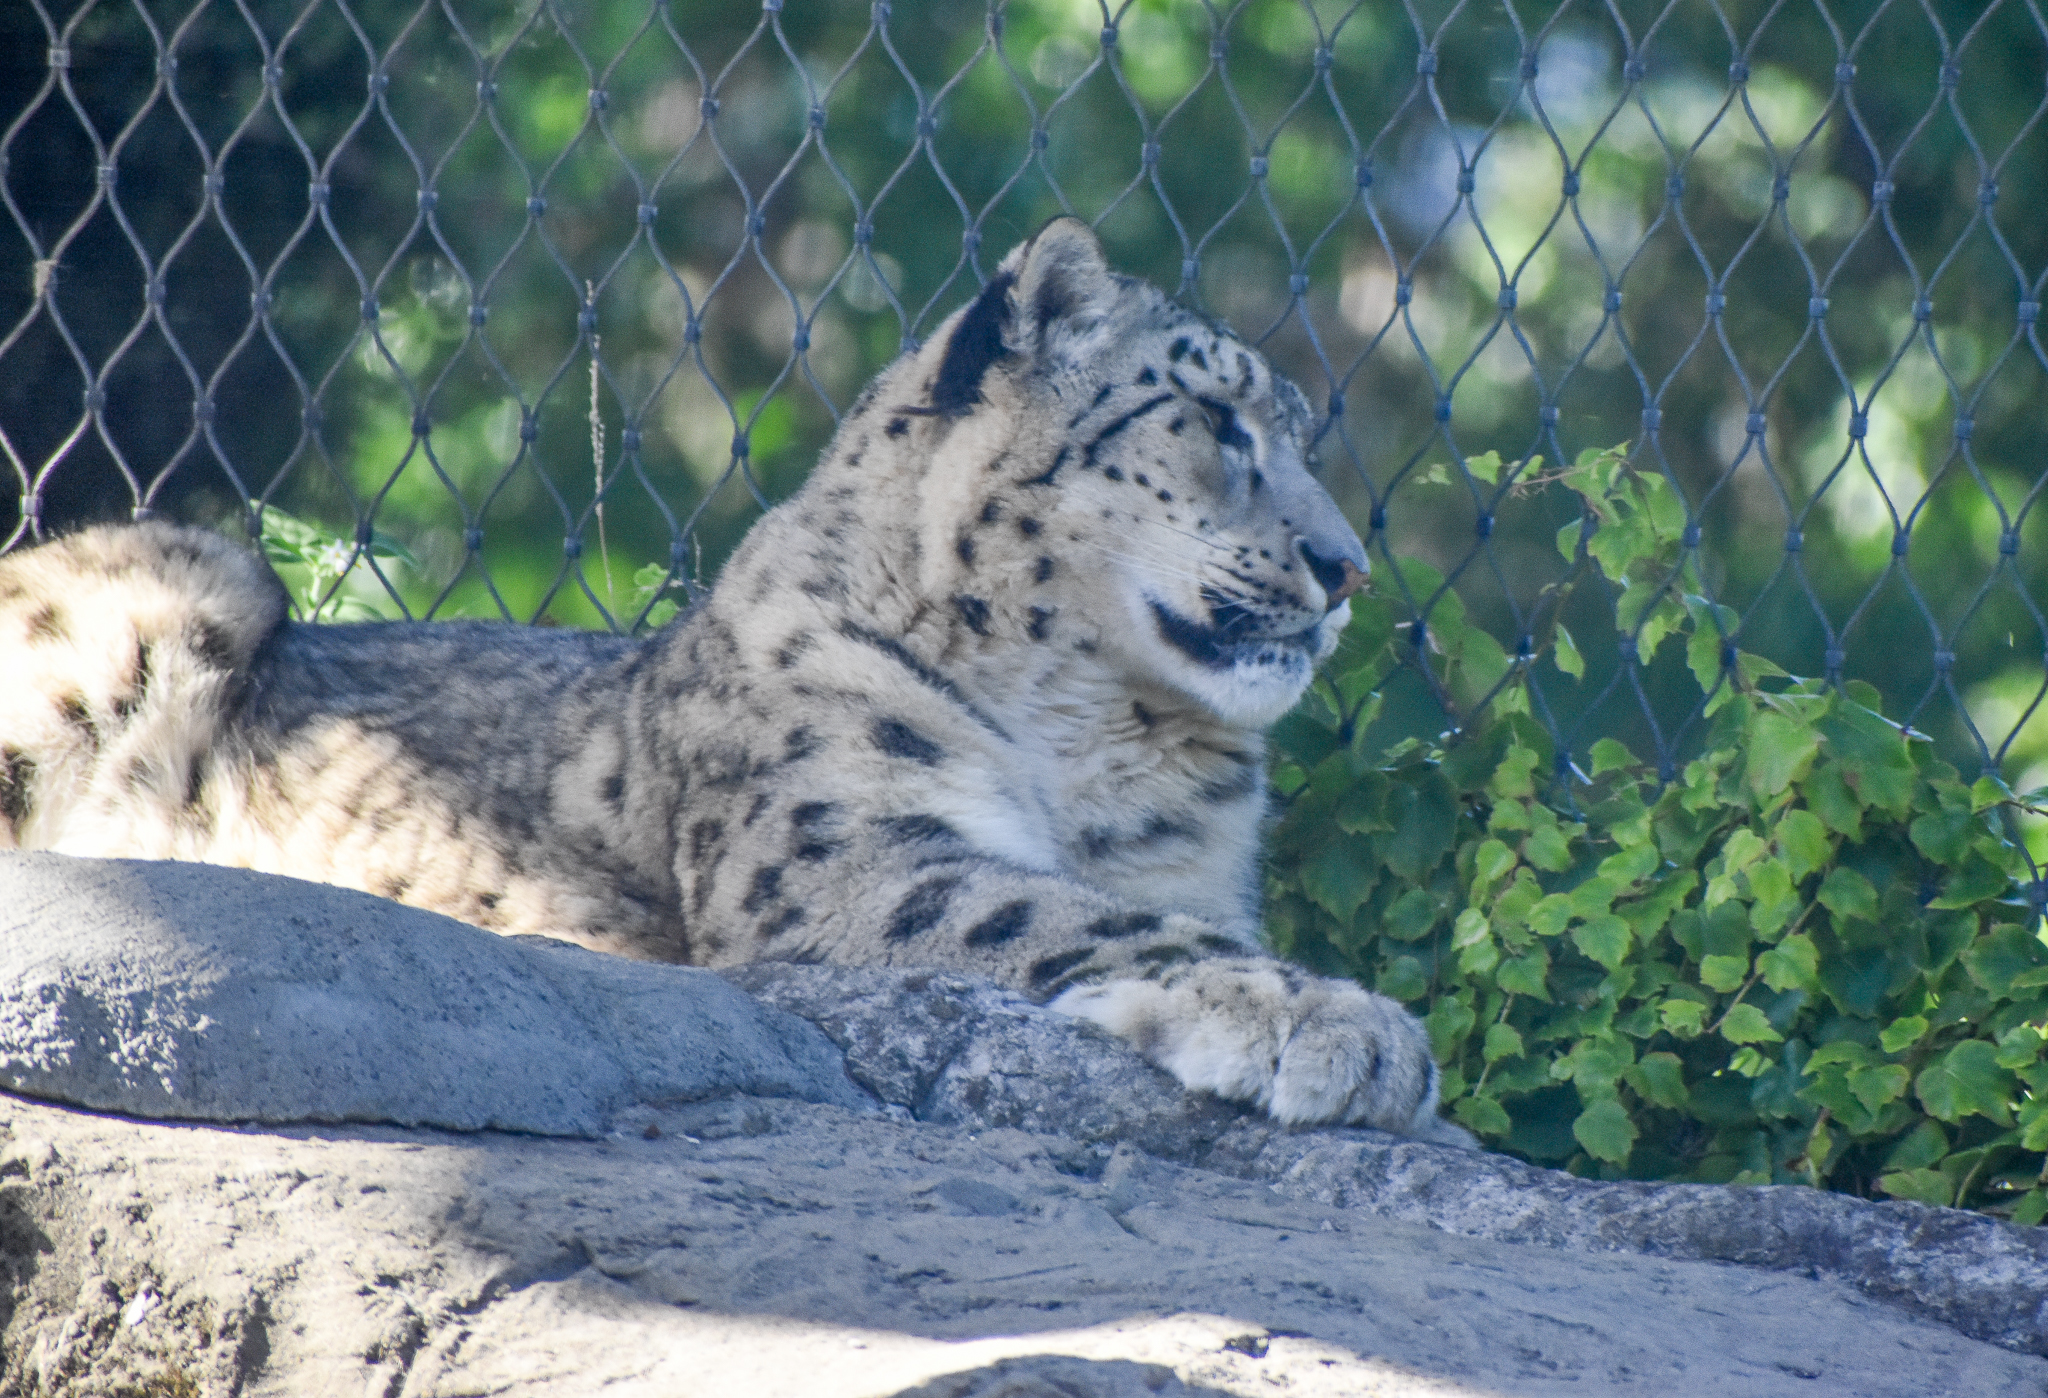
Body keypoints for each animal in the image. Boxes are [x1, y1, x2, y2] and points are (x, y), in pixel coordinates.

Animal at [0, 220, 1467, 1143]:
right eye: (1213, 419)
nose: (1344, 568)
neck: (1093, 738)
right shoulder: (845, 855)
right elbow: (1062, 913)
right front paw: (1339, 1023)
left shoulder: (1178, 870)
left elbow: (1147, 914)